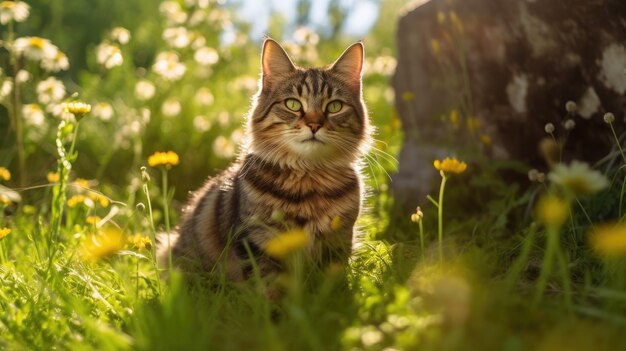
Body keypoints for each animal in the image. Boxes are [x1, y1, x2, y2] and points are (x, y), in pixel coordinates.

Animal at [158, 37, 370, 280]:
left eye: (334, 106)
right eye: (293, 104)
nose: (314, 125)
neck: (308, 180)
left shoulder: (339, 240)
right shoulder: (257, 241)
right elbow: (269, 285)